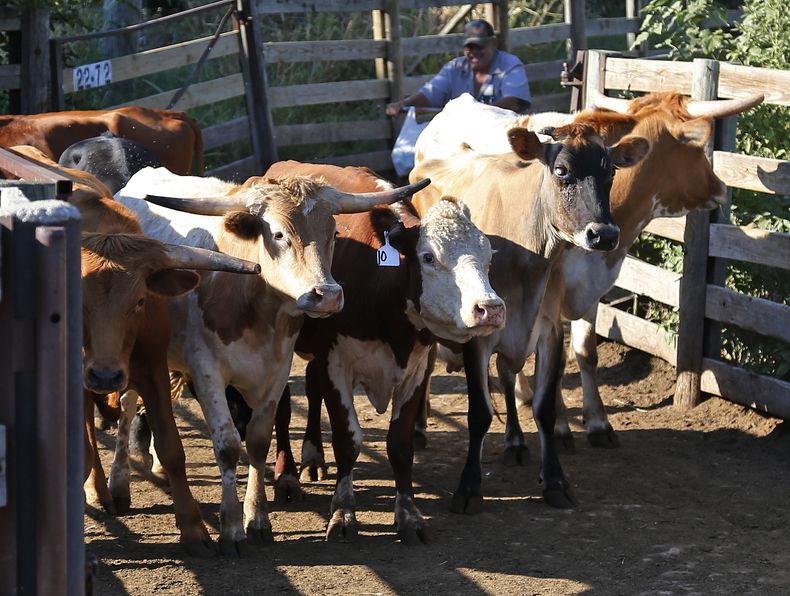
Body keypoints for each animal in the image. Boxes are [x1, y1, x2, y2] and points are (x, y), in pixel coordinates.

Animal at [4, 146, 260, 557]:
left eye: (140, 301)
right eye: (78, 301)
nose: (106, 374)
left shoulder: (153, 371)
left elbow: (171, 448)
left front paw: (193, 529)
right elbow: (81, 445)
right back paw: (97, 491)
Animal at [115, 167, 430, 556]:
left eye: (332, 233)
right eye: (278, 234)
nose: (328, 295)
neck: (254, 300)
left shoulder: (278, 369)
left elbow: (258, 439)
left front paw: (257, 518)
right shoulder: (207, 372)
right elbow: (227, 445)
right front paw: (231, 528)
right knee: (127, 405)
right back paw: (117, 485)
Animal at [259, 160, 504, 544]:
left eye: (488, 257)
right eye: (428, 257)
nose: (490, 309)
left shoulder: (415, 370)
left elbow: (400, 445)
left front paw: (409, 516)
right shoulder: (335, 363)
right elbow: (347, 440)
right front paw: (343, 513)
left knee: (311, 392)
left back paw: (313, 456)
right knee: (283, 408)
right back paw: (287, 477)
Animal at [409, 123, 650, 512]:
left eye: (611, 171)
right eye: (561, 170)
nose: (604, 235)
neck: (526, 259)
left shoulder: (549, 331)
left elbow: (543, 408)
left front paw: (554, 481)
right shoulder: (478, 334)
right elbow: (479, 413)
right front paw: (468, 487)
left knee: (508, 376)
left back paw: (515, 442)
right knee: (428, 366)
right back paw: (418, 428)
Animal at [414, 91, 764, 452]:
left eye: (611, 172)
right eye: (696, 149)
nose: (720, 188)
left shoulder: (590, 288)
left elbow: (585, 353)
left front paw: (597, 422)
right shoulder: (550, 291)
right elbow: (553, 360)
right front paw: (559, 425)